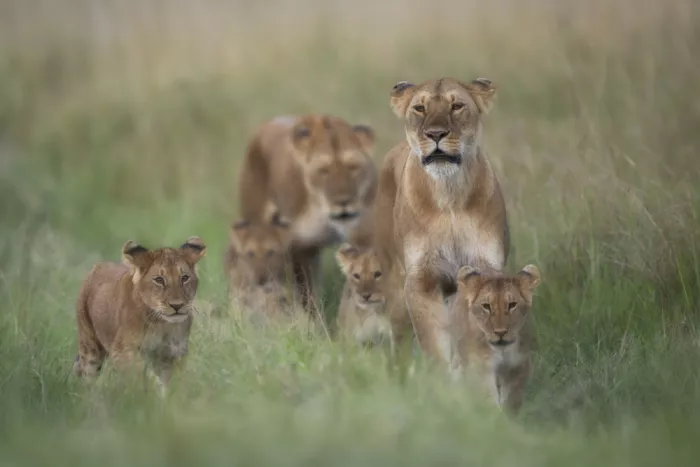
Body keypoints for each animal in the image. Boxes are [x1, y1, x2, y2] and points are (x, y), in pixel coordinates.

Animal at [73, 237, 207, 395]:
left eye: (184, 278)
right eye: (159, 280)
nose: (177, 306)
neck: (163, 325)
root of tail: (98, 266)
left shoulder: (173, 354)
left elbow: (175, 382)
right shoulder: (121, 351)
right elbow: (145, 375)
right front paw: (159, 393)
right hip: (89, 346)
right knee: (89, 377)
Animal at [371, 77, 509, 368]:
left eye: (457, 106)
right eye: (419, 108)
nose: (435, 134)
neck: (450, 197)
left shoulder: (483, 271)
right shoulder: (422, 279)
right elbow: (433, 340)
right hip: (395, 285)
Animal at [449, 264, 541, 413]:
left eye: (512, 305)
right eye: (486, 306)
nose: (500, 332)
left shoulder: (518, 365)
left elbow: (512, 399)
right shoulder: (480, 368)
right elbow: (487, 400)